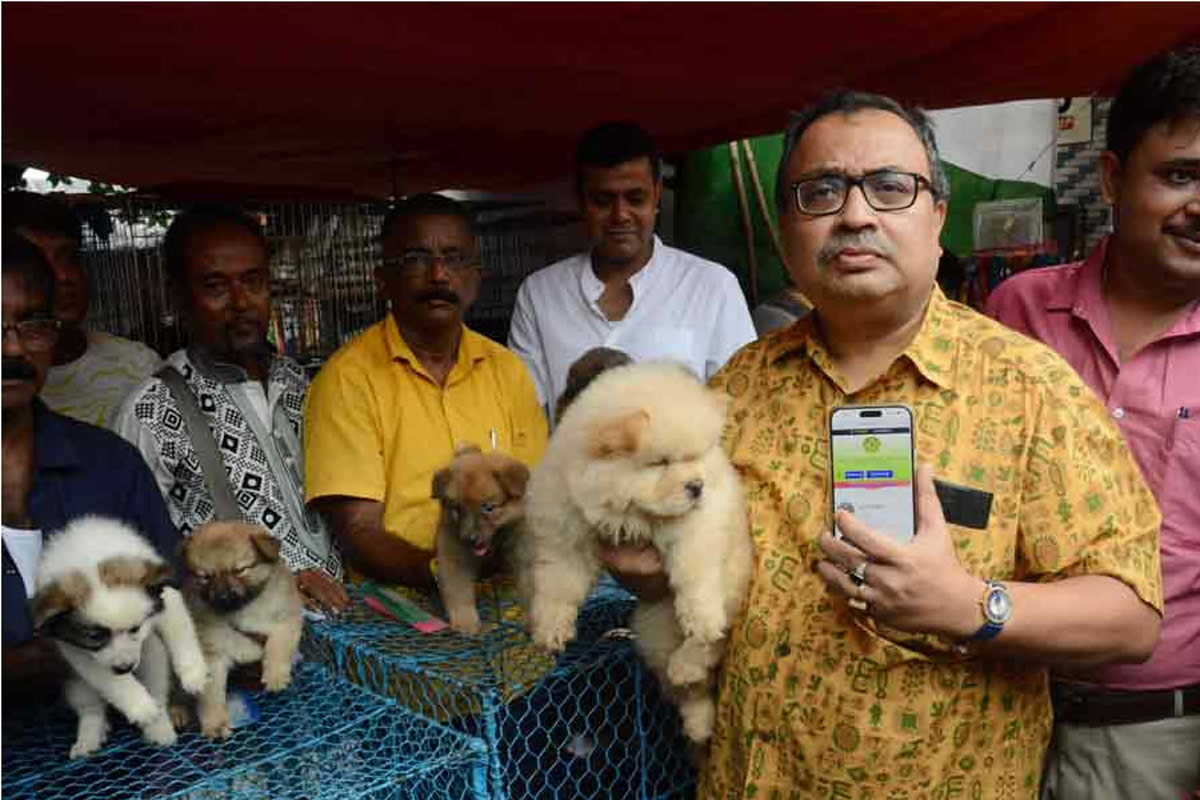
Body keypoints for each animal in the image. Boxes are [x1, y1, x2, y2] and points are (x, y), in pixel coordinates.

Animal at [32, 515, 210, 762]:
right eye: (94, 636)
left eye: (136, 628)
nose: (125, 668)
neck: (92, 561)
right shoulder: (77, 651)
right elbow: (110, 681)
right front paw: (140, 706)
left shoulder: (166, 601)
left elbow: (180, 630)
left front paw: (193, 674)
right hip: (78, 685)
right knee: (90, 708)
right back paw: (90, 736)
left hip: (151, 653)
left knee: (157, 687)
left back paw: (159, 726)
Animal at [182, 522, 307, 743]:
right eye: (205, 577)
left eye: (240, 570)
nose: (222, 597)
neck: (244, 608)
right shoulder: (212, 654)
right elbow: (211, 694)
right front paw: (214, 722)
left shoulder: (286, 618)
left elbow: (278, 645)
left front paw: (275, 675)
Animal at [429, 441, 528, 633]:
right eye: (456, 508)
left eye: (488, 508)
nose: (469, 538)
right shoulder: (454, 555)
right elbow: (458, 591)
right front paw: (465, 622)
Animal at [523, 362, 748, 743]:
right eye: (660, 462)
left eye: (695, 457)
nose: (697, 486)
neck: (636, 516)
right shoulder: (567, 533)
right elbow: (558, 587)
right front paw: (551, 631)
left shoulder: (698, 530)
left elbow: (695, 577)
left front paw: (701, 619)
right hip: (654, 630)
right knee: (692, 689)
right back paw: (697, 720)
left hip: (729, 594)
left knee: (708, 649)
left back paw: (688, 665)